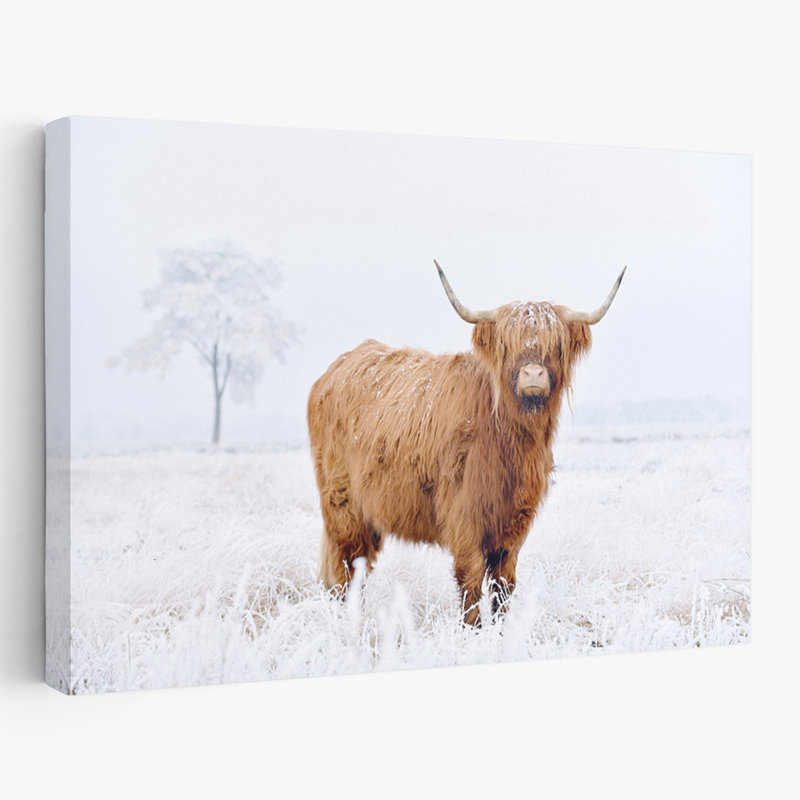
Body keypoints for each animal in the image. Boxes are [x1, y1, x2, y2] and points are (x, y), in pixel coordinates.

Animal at [307, 261, 625, 625]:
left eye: (556, 345)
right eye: (507, 345)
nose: (533, 375)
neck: (510, 442)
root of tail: (335, 369)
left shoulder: (513, 524)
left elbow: (503, 586)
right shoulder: (464, 518)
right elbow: (471, 583)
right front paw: (472, 632)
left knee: (358, 567)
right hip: (342, 506)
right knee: (344, 569)